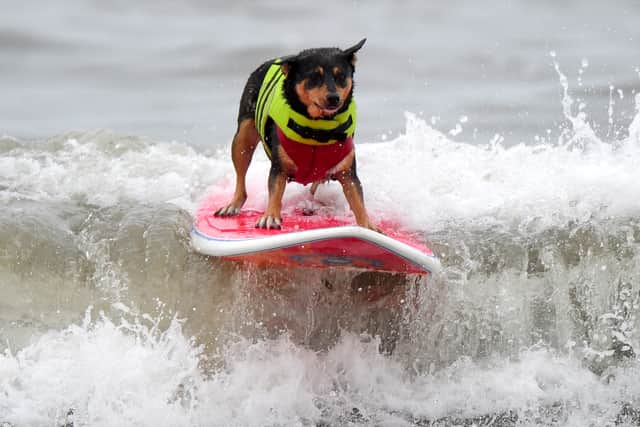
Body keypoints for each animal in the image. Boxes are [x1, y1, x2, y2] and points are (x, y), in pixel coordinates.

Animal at [215, 39, 378, 234]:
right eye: (314, 77)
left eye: (340, 76)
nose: (334, 98)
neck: (318, 129)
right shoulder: (279, 166)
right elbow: (275, 189)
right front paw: (270, 215)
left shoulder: (347, 171)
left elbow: (356, 197)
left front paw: (368, 225)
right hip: (243, 136)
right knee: (241, 173)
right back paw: (232, 205)